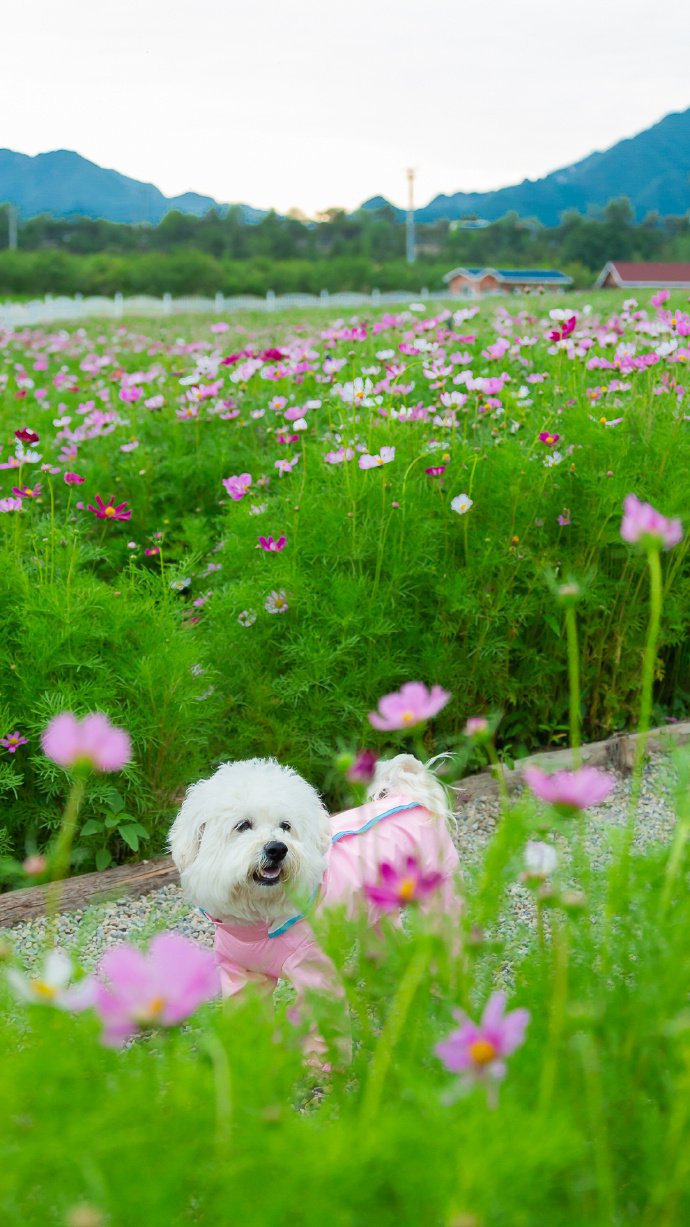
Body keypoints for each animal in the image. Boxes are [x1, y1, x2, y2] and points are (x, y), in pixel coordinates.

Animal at [166, 750, 459, 1011]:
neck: (258, 924)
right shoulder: (242, 975)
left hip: (439, 900)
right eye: (243, 825)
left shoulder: (315, 972)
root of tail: (412, 796)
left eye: (285, 826)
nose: (277, 849)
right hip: (377, 918)